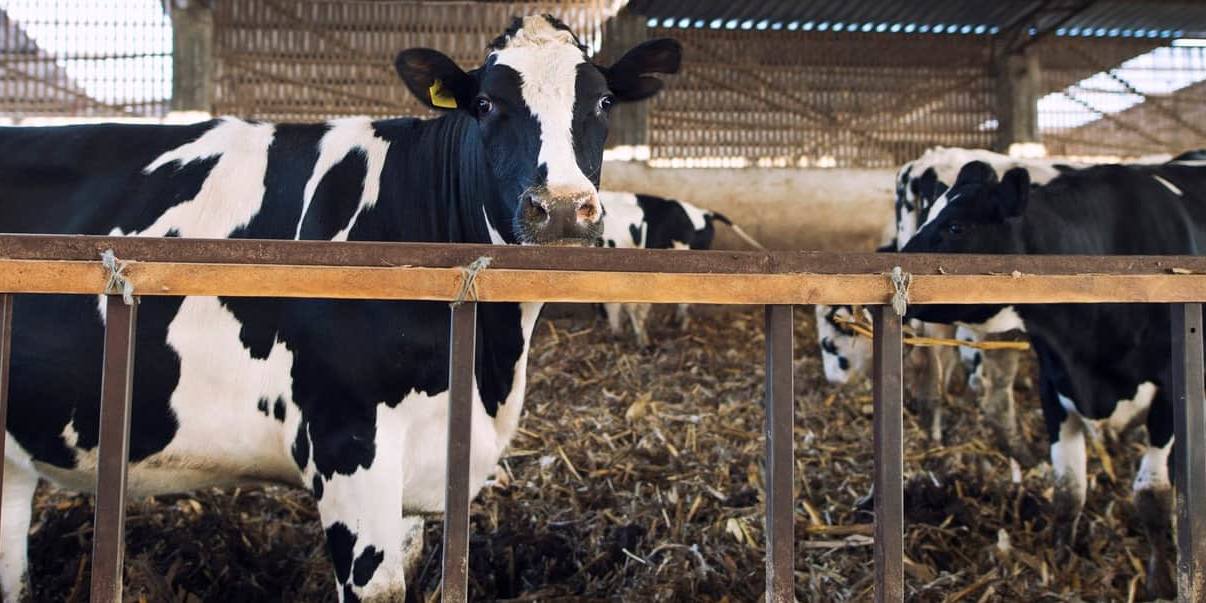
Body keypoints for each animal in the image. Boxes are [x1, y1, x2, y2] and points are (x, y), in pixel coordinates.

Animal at [0, 15, 681, 602]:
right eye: (486, 106)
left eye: (602, 103)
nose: (562, 209)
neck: (488, 369)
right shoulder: (346, 440)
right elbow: (381, 587)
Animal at [901, 159, 1206, 600]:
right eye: (926, 214)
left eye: (957, 226)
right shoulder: (1055, 382)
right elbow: (1068, 490)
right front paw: (1061, 562)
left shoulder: (1168, 394)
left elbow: (1151, 497)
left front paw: (1160, 581)